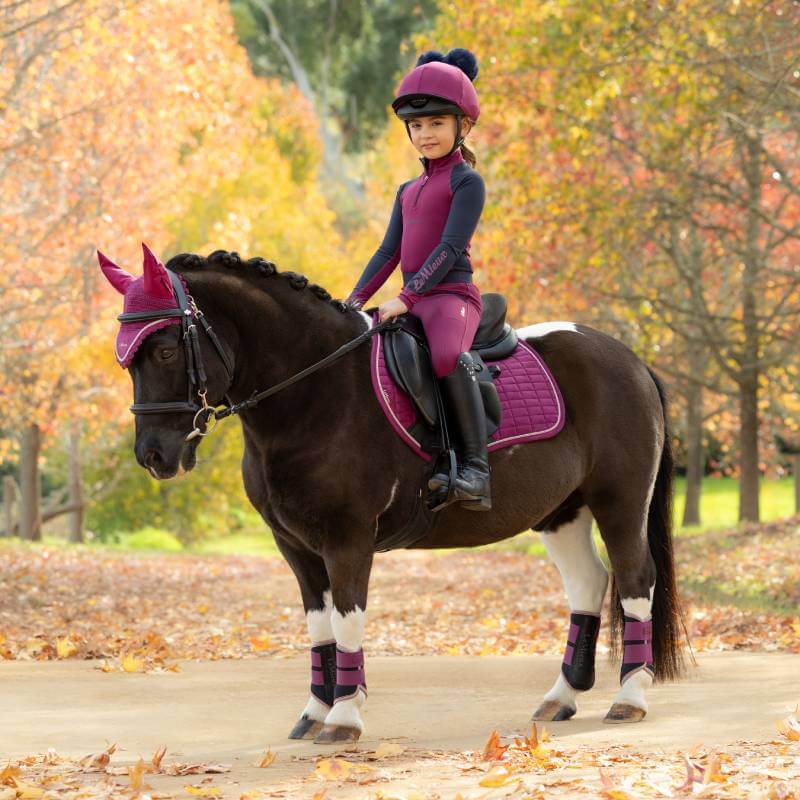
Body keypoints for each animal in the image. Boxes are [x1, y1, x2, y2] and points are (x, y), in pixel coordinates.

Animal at [101, 247, 686, 745]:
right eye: (125, 359)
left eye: (166, 348)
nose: (153, 455)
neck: (317, 389)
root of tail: (630, 359)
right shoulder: (295, 547)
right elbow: (320, 627)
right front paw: (315, 711)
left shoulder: (347, 540)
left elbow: (347, 619)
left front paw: (343, 716)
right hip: (562, 512)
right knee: (588, 585)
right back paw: (561, 697)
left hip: (619, 503)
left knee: (635, 581)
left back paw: (630, 697)